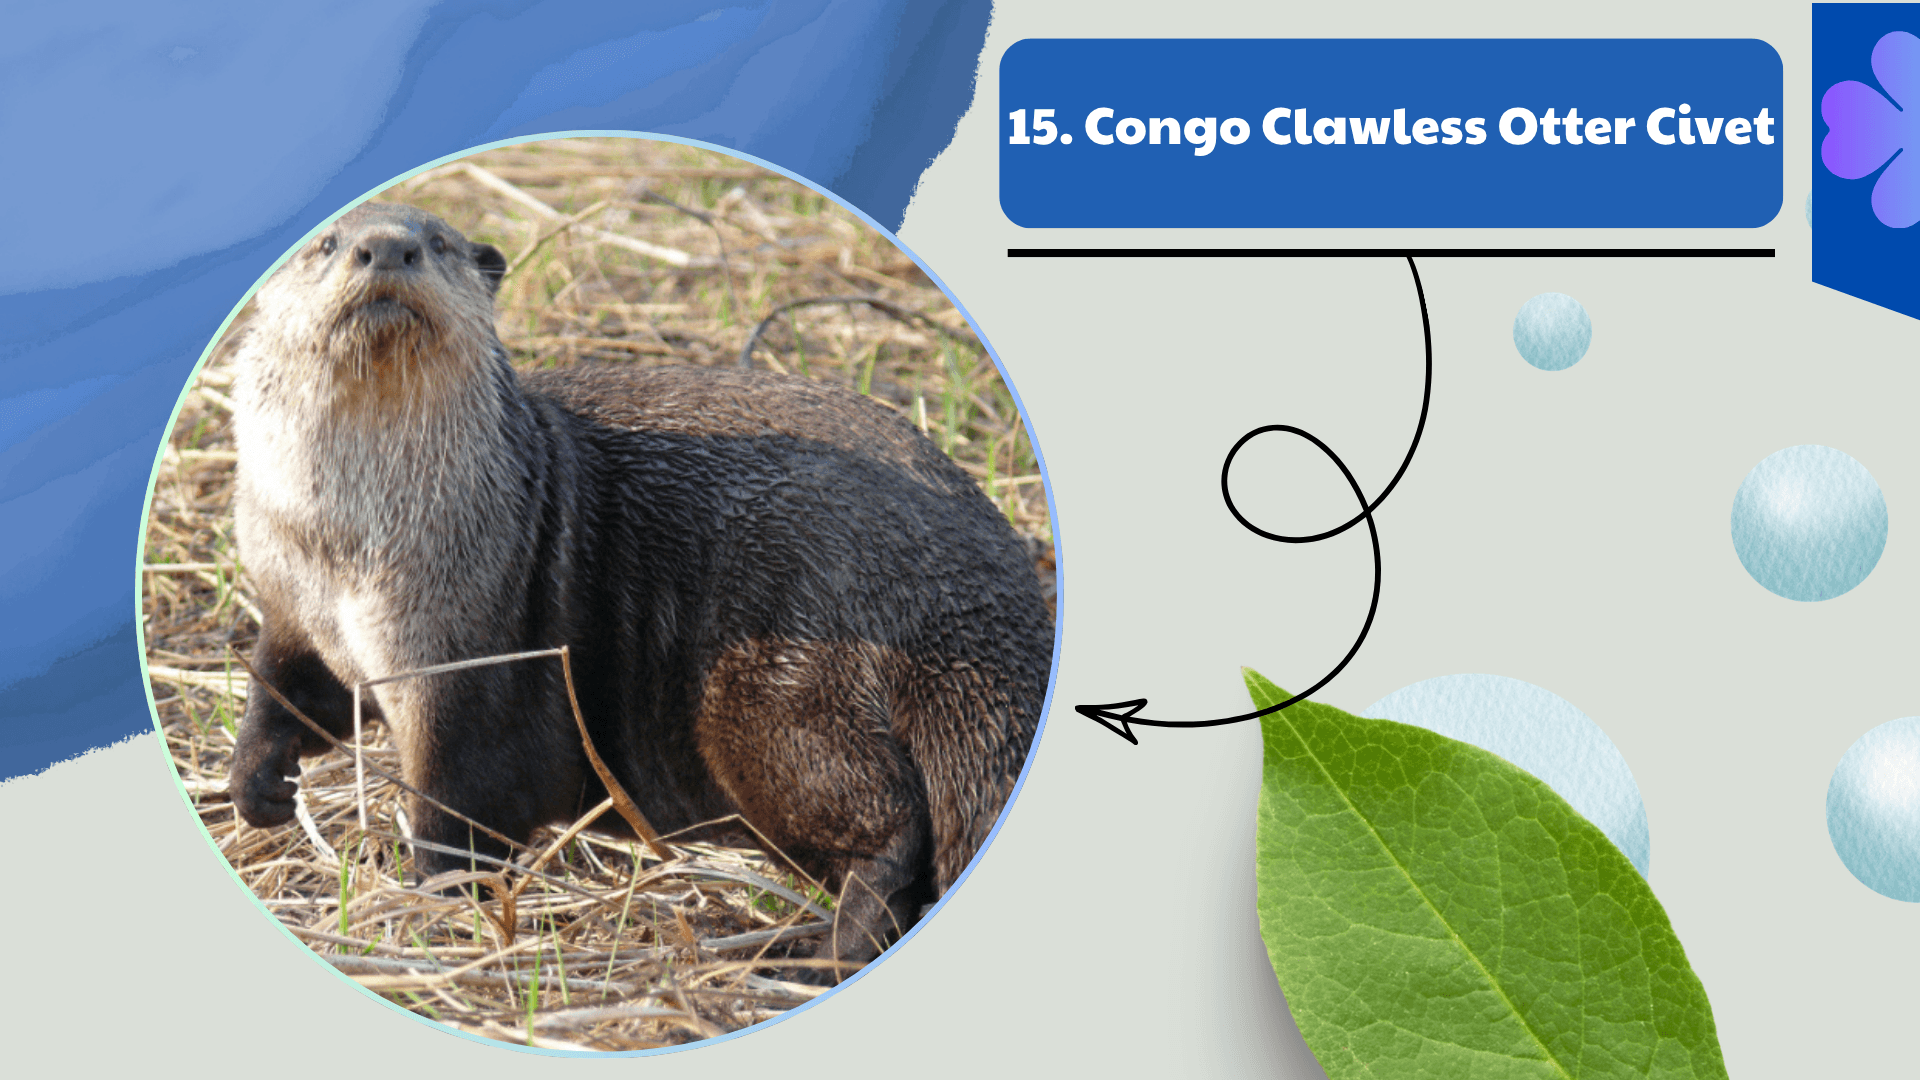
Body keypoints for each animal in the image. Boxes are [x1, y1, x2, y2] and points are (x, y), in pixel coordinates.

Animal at [225, 202, 1052, 977]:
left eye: (437, 244)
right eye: (326, 243)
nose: (386, 248)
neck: (351, 553)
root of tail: (975, 598)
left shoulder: (471, 661)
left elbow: (460, 803)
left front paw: (437, 906)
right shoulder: (292, 603)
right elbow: (287, 688)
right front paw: (257, 788)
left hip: (778, 689)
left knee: (886, 823)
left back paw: (820, 952)